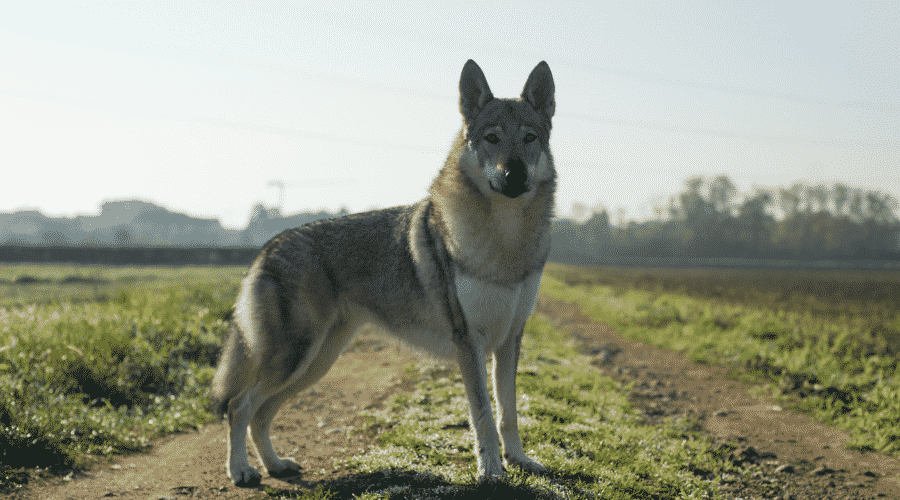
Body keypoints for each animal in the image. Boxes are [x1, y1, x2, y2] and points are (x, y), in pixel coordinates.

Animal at [210, 59, 557, 486]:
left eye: (529, 138)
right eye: (492, 138)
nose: (515, 175)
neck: (506, 239)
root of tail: (268, 246)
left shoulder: (509, 339)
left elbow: (509, 414)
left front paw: (520, 461)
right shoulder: (469, 342)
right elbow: (484, 417)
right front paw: (491, 471)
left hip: (313, 364)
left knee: (261, 413)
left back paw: (276, 465)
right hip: (295, 358)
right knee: (239, 406)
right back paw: (241, 471)